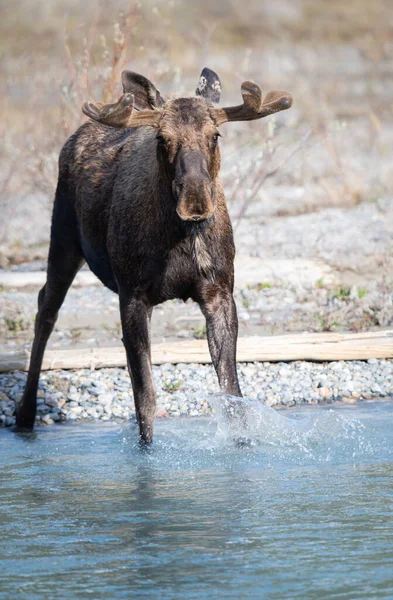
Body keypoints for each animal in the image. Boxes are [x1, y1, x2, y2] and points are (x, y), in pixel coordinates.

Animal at [16, 68, 290, 442]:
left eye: (215, 135)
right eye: (162, 138)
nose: (195, 199)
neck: (181, 239)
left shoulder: (220, 293)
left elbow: (232, 393)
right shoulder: (133, 296)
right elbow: (146, 399)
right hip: (63, 239)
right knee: (46, 309)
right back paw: (25, 413)